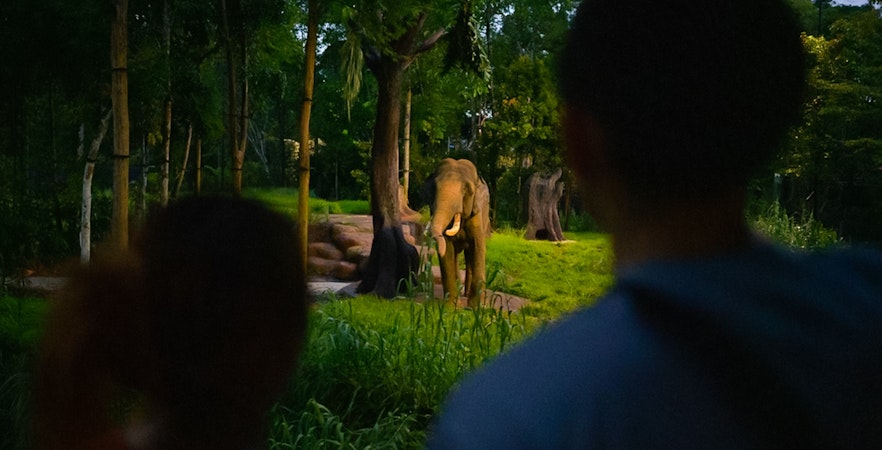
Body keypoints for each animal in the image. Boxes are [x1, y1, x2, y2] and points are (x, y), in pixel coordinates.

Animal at [423, 158, 491, 307]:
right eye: (434, 188)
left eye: (466, 189)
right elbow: (448, 248)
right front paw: (451, 307)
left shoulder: (477, 215)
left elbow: (478, 247)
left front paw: (477, 308)